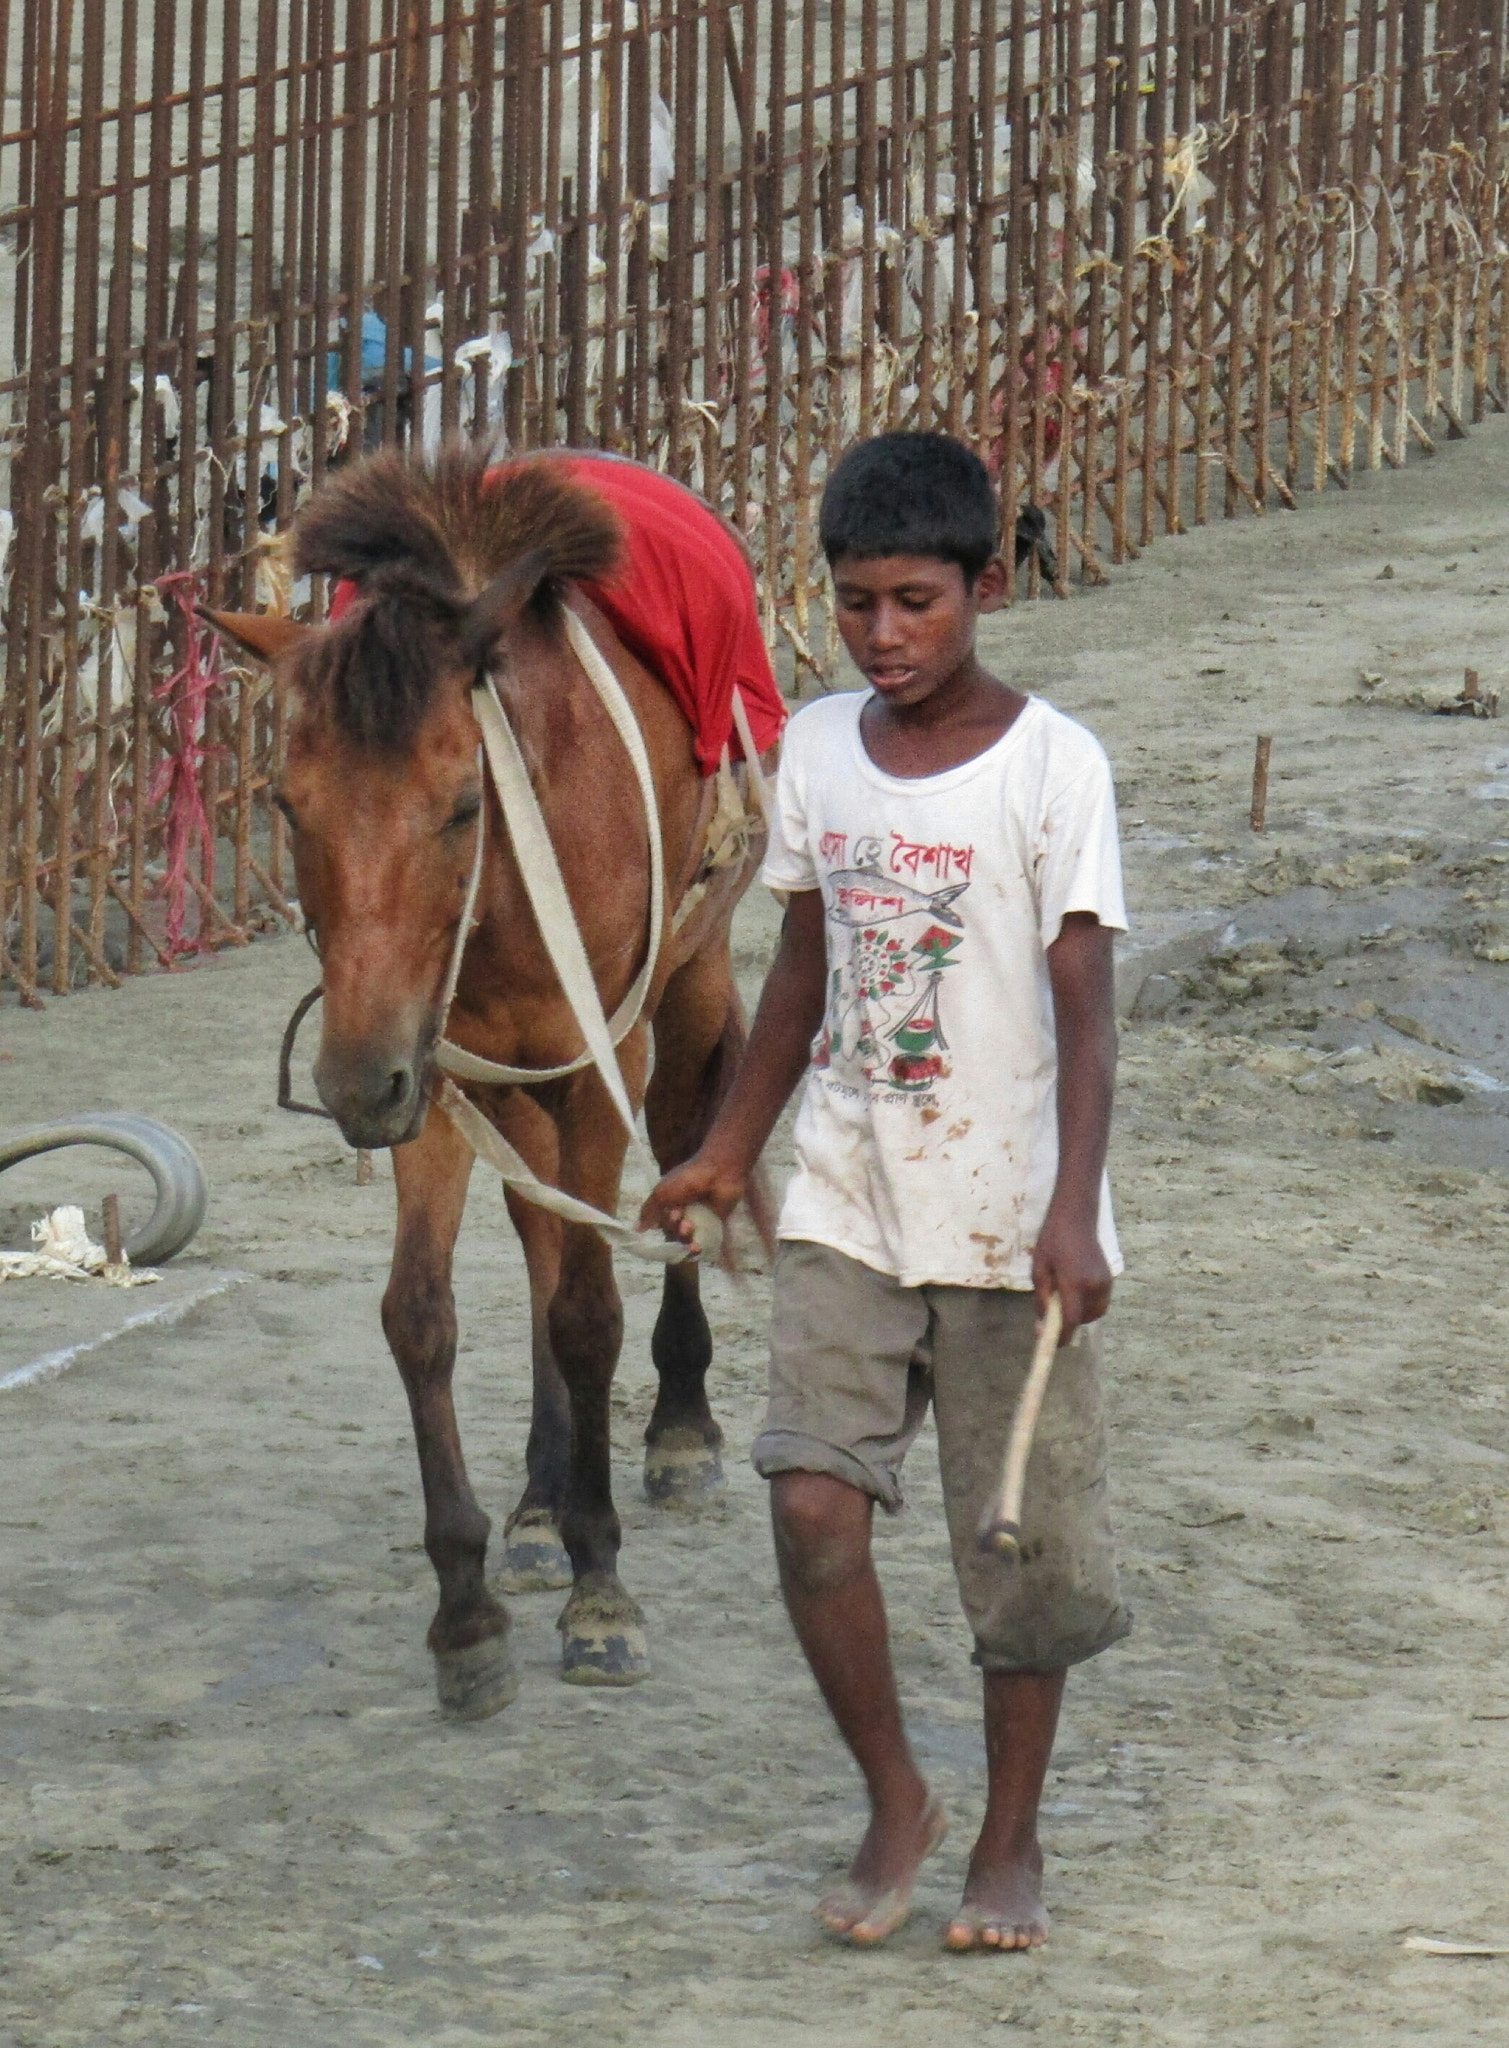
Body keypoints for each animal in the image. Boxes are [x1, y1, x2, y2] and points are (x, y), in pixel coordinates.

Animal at [206, 444, 774, 1720]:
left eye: (460, 803)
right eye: (287, 805)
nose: (351, 1085)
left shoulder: (593, 1059)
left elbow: (589, 1309)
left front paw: (602, 1591)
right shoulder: (432, 1070)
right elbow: (423, 1313)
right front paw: (466, 1610)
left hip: (686, 990)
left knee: (677, 1164)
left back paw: (677, 1431)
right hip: (507, 1079)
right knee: (539, 1229)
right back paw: (539, 1502)